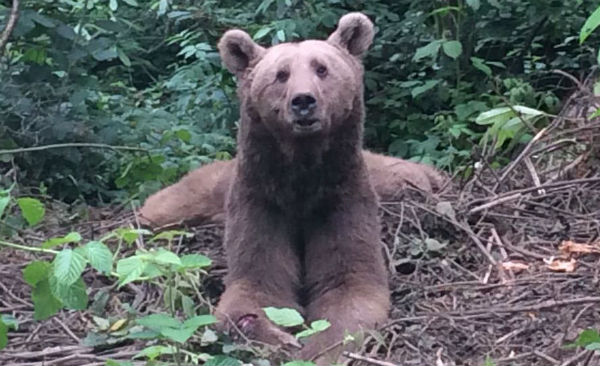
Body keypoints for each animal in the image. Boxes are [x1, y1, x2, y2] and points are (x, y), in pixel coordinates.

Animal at [213, 12, 392, 364]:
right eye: (281, 75)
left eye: (322, 68)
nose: (303, 101)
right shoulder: (261, 199)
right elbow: (258, 284)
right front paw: (277, 337)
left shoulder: (340, 197)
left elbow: (350, 284)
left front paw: (319, 347)